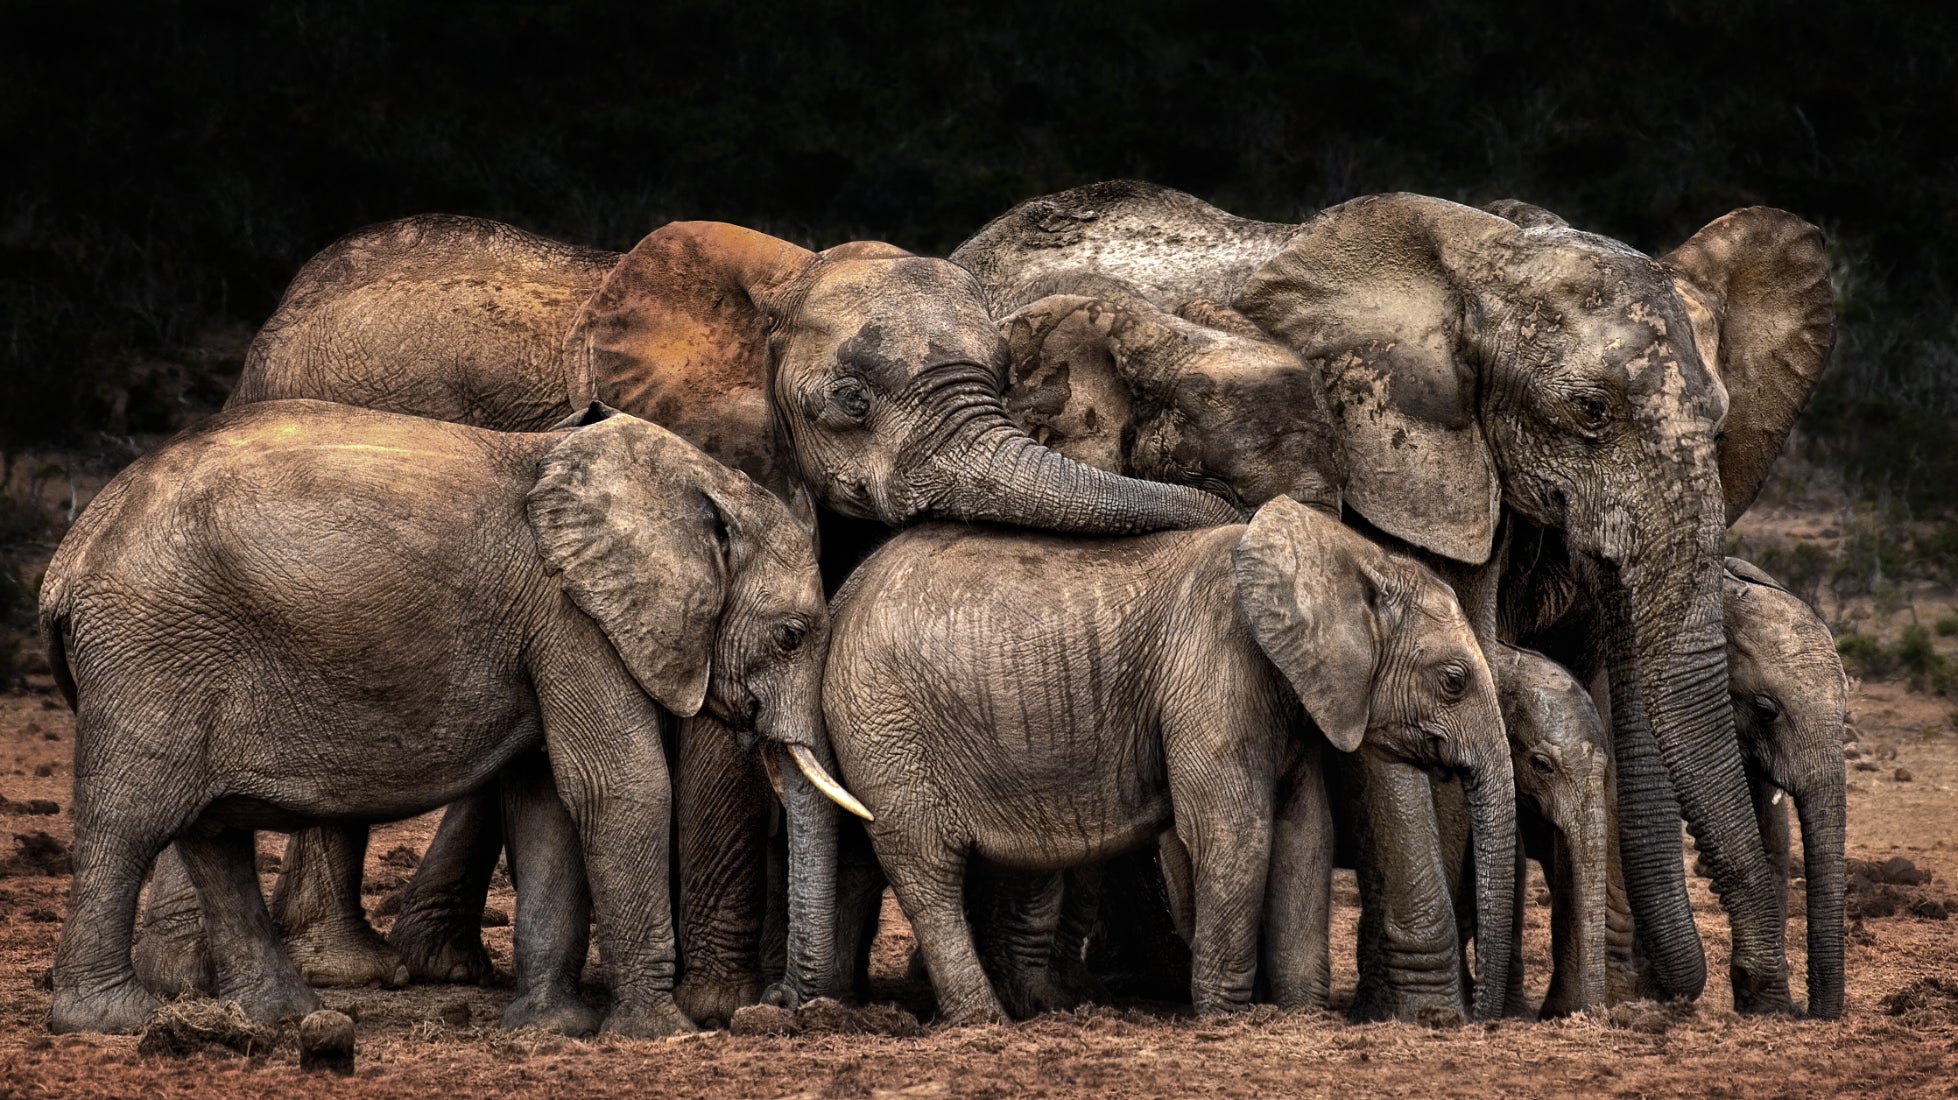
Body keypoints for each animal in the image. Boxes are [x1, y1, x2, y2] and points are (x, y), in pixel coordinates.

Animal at [38, 397, 857, 1033]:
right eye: (791, 635)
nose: (784, 1007)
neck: (699, 484)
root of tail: (66, 559)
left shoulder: (550, 626)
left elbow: (547, 800)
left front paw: (552, 1029)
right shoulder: (572, 616)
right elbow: (618, 787)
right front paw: (663, 1034)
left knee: (215, 835)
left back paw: (286, 1018)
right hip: (152, 650)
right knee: (131, 820)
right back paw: (111, 1020)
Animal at [148, 212, 1237, 1017]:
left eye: (1007, 381)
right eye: (847, 404)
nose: (1229, 510)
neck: (783, 282)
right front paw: (723, 1006)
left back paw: (419, 967)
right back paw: (332, 973)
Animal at [818, 497, 1519, 1017]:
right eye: (1453, 681)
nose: (1480, 1020)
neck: (1355, 558)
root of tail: (843, 594)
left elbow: (1305, 835)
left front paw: (1302, 1017)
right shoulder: (1216, 669)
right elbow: (1234, 833)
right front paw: (1228, 1018)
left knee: (863, 859)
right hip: (887, 722)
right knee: (925, 866)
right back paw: (984, 1020)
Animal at [947, 180, 1832, 1009]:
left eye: (1721, 426)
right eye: (1591, 410)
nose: (1764, 996)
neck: (1489, 263)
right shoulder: (1393, 459)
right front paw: (1432, 1011)